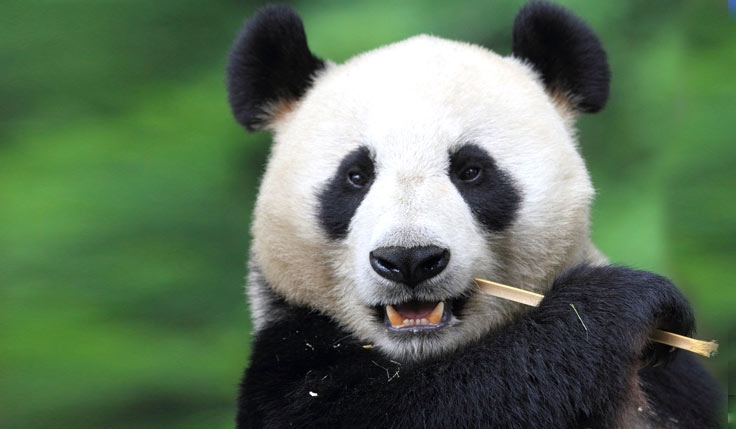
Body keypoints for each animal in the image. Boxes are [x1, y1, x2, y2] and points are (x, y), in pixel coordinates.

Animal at [226, 2, 722, 428]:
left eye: (470, 171)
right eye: (355, 176)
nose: (410, 260)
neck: (422, 356)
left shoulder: (668, 389)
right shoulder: (290, 365)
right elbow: (448, 402)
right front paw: (621, 302)